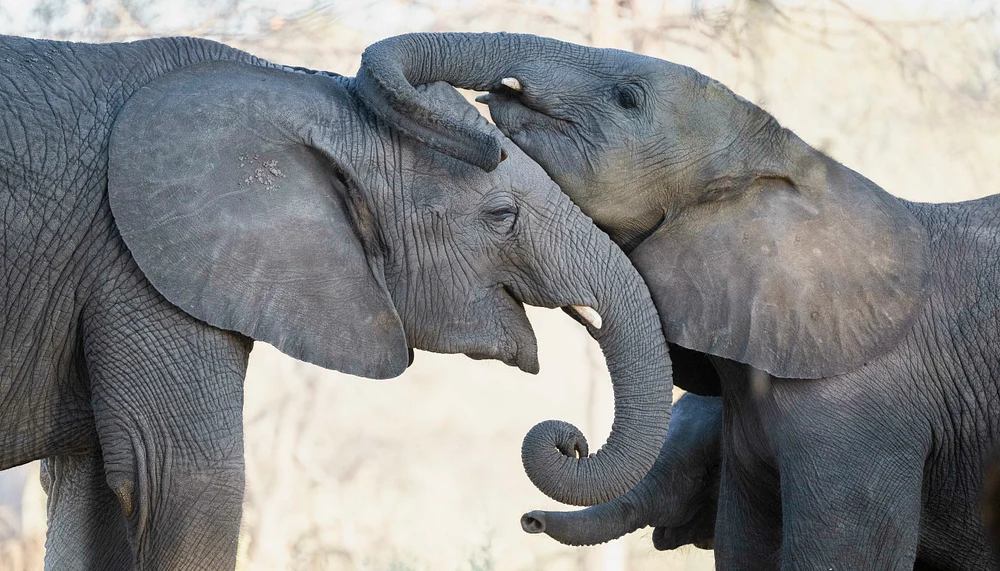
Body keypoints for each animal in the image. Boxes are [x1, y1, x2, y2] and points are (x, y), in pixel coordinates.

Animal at [0, 34, 676, 569]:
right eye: (501, 216)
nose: (570, 441)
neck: (302, 92)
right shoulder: (135, 263)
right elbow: (182, 482)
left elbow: (90, 495)